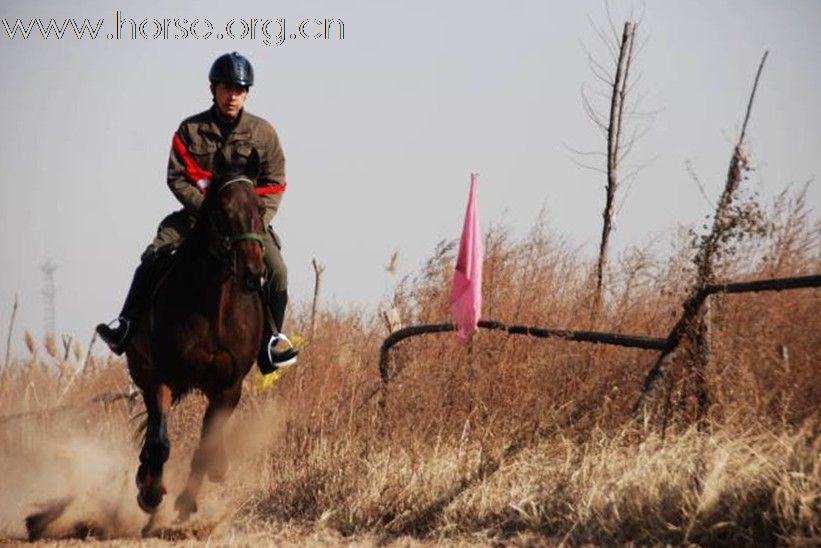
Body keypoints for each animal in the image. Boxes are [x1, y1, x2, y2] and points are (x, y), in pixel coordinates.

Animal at [126, 147, 266, 524]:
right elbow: (159, 443)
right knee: (152, 438)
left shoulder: (229, 388)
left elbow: (205, 447)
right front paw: (150, 494)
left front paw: (187, 501)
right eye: (222, 210)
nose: (253, 272)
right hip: (144, 373)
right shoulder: (162, 378)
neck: (212, 307)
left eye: (259, 208)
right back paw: (147, 483)